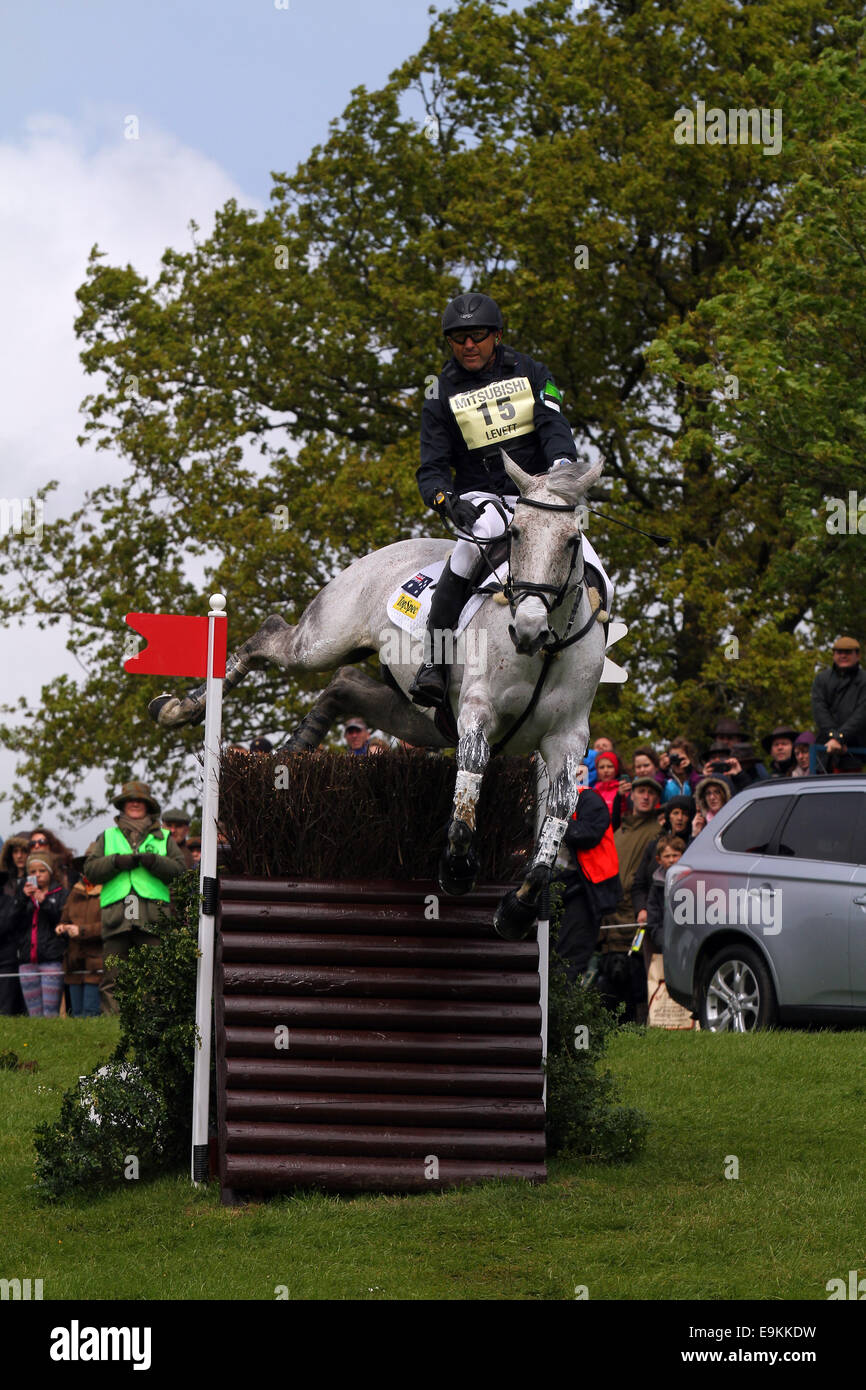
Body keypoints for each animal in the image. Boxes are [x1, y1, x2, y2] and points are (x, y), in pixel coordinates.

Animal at [148, 453, 608, 934]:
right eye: (516, 534)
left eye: (572, 540)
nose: (528, 629)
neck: (547, 649)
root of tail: (387, 551)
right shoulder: (478, 710)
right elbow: (473, 770)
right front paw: (457, 866)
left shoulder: (566, 738)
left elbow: (561, 809)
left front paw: (519, 906)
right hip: (323, 642)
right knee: (274, 637)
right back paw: (178, 709)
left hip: (423, 720)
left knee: (345, 684)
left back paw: (290, 753)